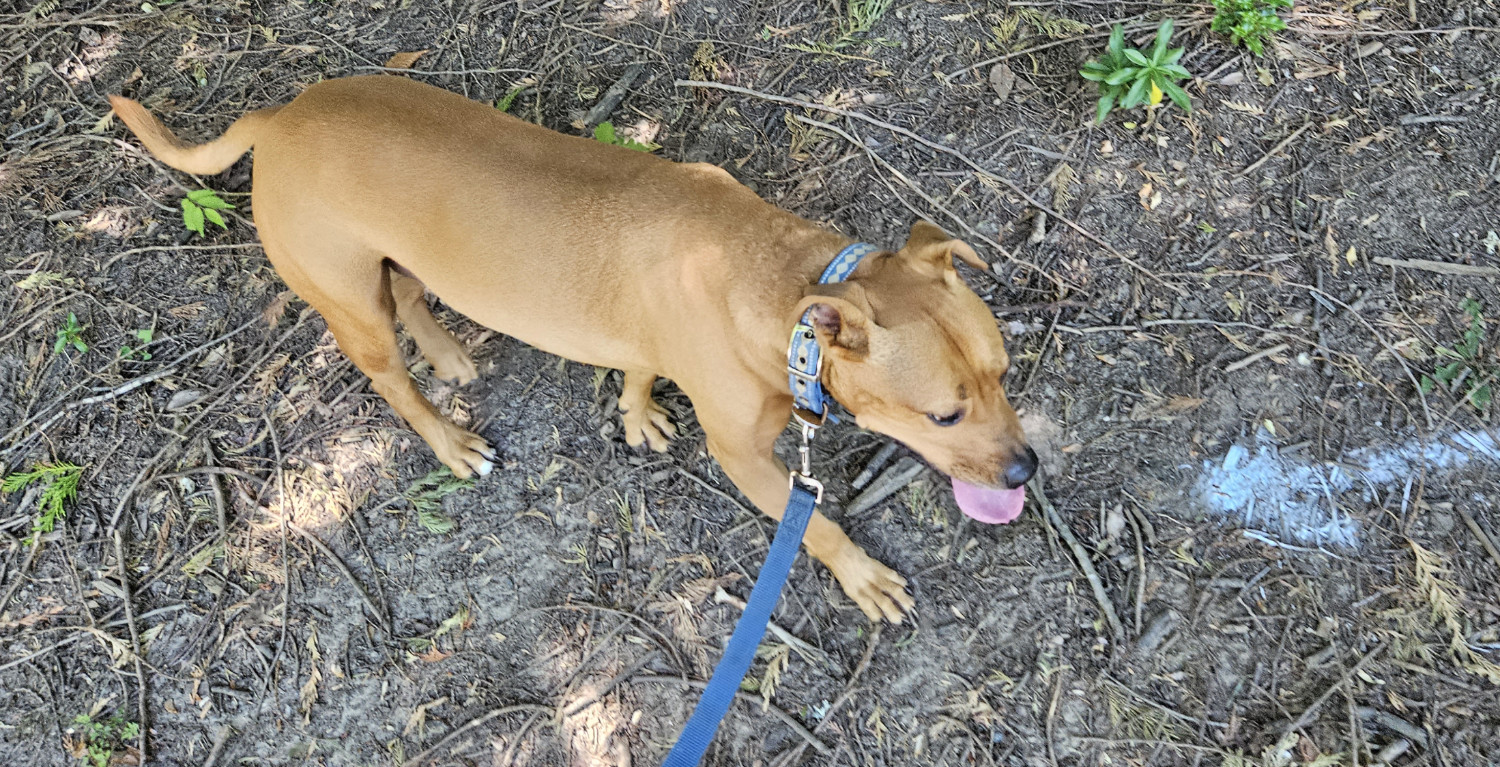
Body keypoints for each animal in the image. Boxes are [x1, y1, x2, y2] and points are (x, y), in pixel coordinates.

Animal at [111, 75, 1038, 621]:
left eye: (1003, 374)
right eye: (943, 413)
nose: (1027, 469)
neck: (783, 289)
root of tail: (280, 116)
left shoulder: (646, 336)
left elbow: (635, 370)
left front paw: (636, 414)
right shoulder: (748, 460)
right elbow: (815, 528)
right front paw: (862, 574)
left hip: (391, 264)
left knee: (411, 293)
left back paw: (447, 353)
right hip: (350, 306)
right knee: (394, 387)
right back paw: (449, 438)